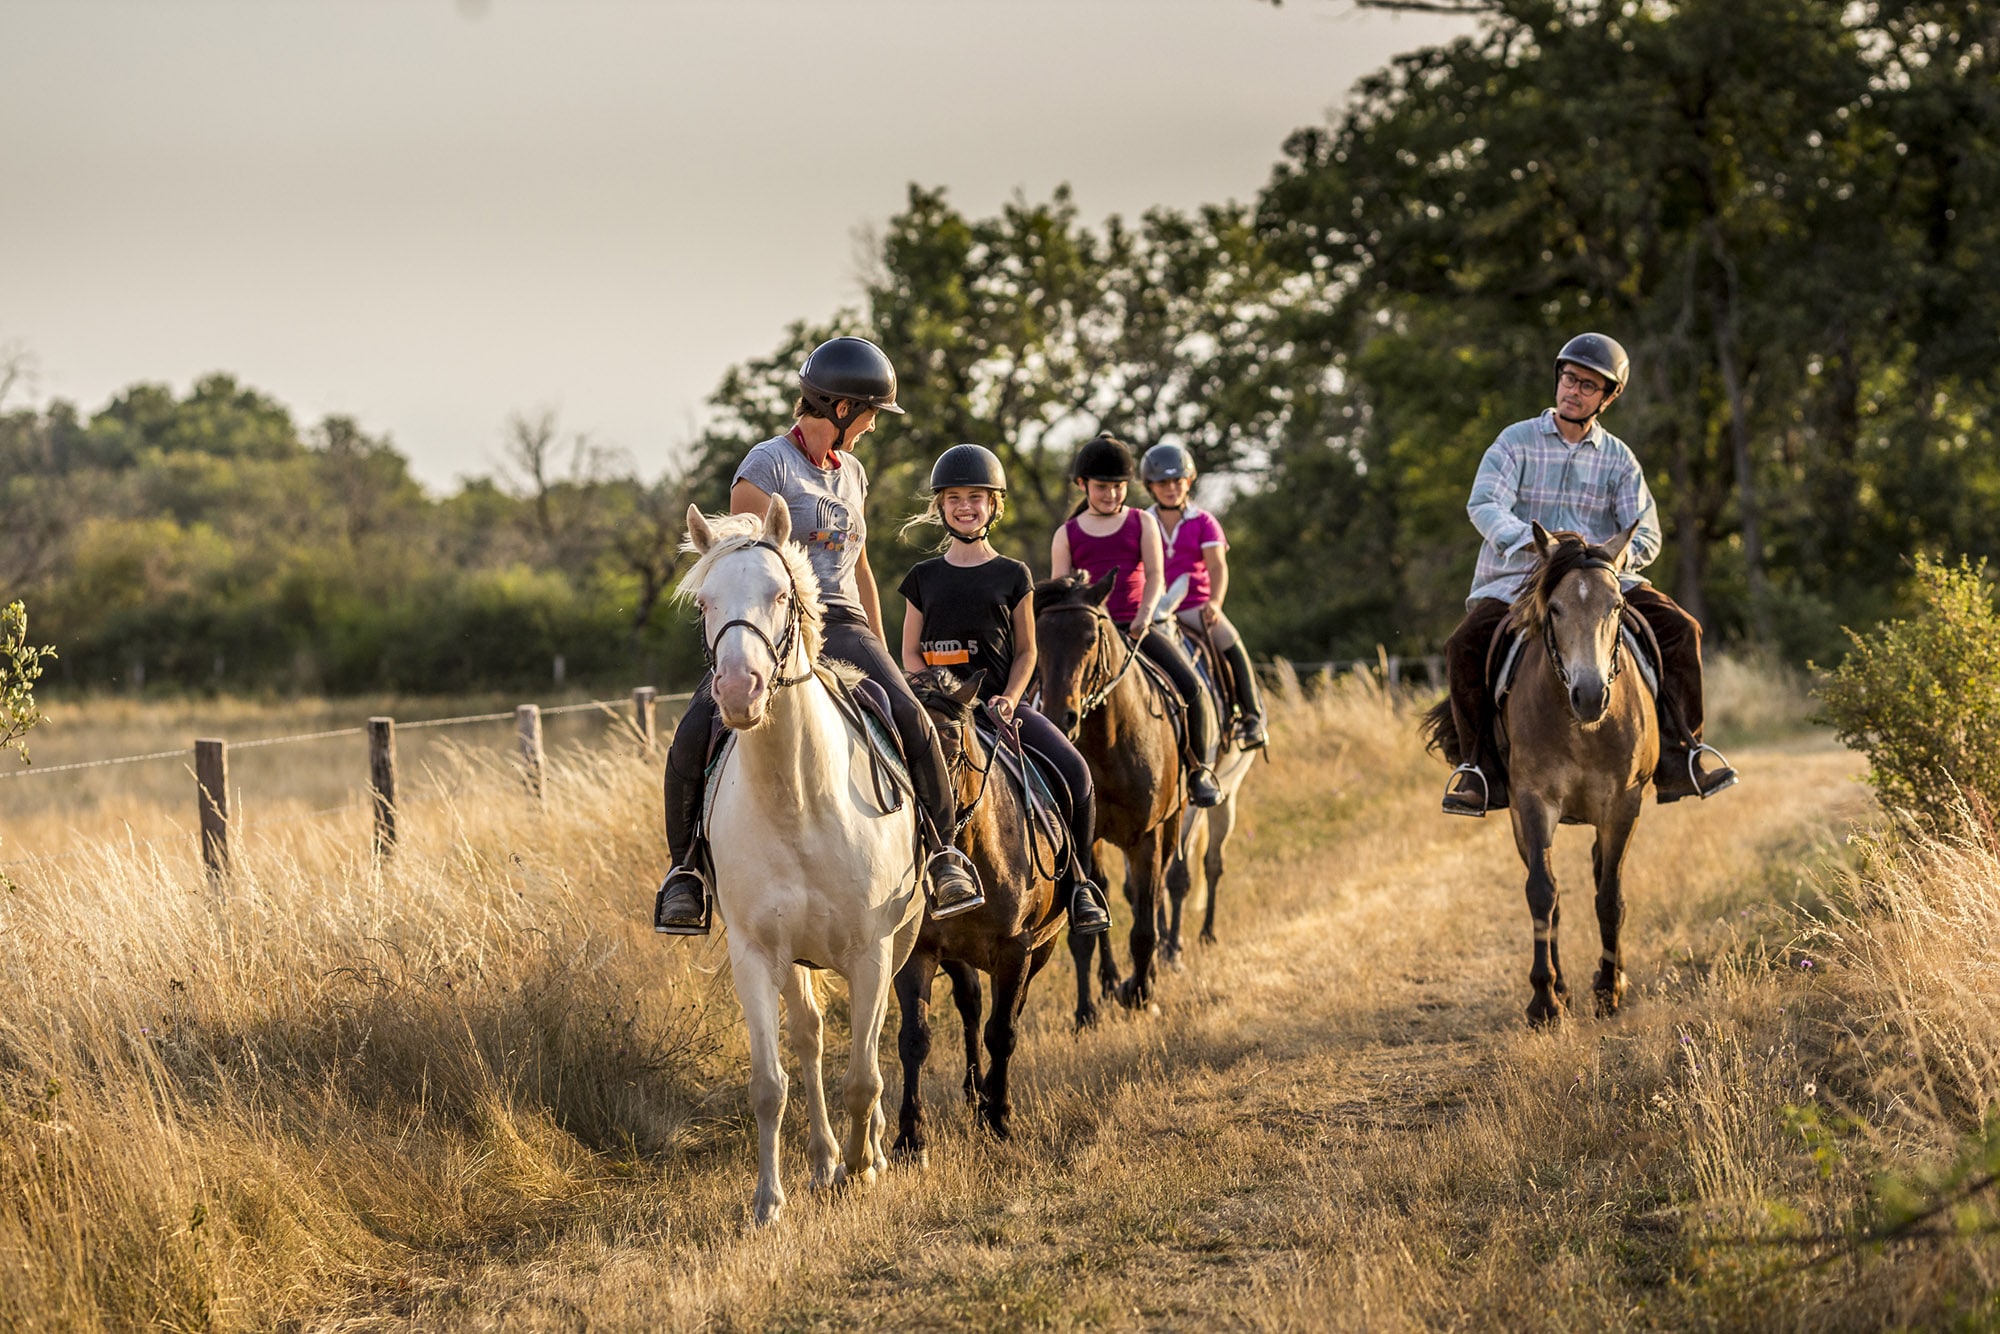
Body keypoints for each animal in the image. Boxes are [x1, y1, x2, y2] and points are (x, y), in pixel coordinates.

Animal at [672, 504, 920, 1232]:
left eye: (780, 594)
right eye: (705, 602)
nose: (738, 690)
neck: (798, 797)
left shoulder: (871, 949)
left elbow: (863, 1072)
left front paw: (866, 1167)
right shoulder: (756, 954)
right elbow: (768, 1084)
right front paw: (767, 1202)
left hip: (896, 944)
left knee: (869, 1040)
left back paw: (864, 1154)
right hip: (795, 960)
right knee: (808, 1040)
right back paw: (821, 1161)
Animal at [896, 668, 1072, 1160]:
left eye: (953, 756)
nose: (924, 826)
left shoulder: (1017, 949)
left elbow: (1003, 1031)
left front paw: (999, 1117)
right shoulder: (919, 952)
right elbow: (915, 1038)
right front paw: (910, 1138)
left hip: (1041, 948)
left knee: (1005, 1014)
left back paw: (989, 1097)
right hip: (958, 955)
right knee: (971, 1005)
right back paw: (975, 1091)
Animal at [1040, 572, 1176, 1024]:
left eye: (1089, 638)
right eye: (1039, 640)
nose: (1060, 717)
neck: (1108, 742)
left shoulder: (1147, 837)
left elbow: (1144, 926)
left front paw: (1141, 992)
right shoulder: (1087, 837)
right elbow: (1084, 932)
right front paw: (1086, 1011)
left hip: (1172, 825)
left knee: (1152, 895)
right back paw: (1109, 981)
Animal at [1424, 520, 1656, 1024]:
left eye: (1617, 606)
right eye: (1554, 608)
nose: (1590, 695)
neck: (1583, 726)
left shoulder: (1624, 804)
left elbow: (1610, 895)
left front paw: (1609, 989)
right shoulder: (1533, 802)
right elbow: (1542, 893)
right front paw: (1545, 999)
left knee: (1602, 876)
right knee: (1553, 895)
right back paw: (1564, 987)